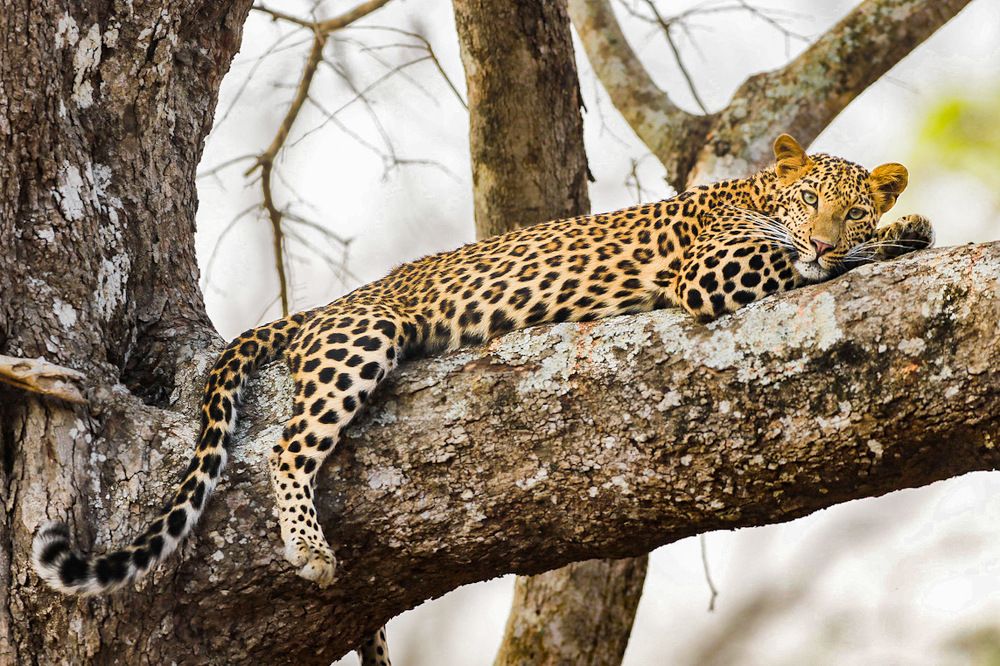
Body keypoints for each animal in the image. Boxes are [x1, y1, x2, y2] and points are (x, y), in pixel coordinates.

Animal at [31, 134, 934, 665]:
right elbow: (800, 266)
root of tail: (330, 304)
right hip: (364, 337)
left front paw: (901, 227)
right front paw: (889, 240)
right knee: (289, 446)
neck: (752, 194)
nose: (824, 235)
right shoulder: (710, 271)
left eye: (851, 206)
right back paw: (310, 549)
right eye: (809, 201)